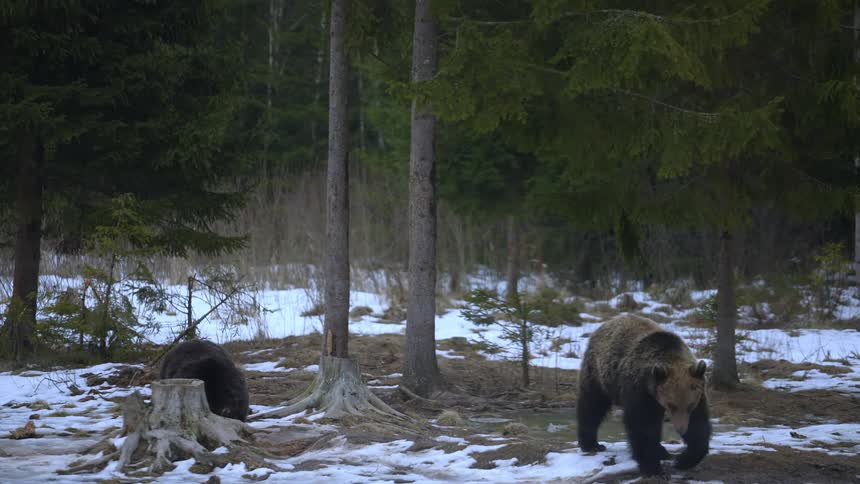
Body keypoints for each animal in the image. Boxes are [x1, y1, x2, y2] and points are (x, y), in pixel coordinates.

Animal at [577, 314, 710, 476]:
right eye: (672, 405)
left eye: (690, 406)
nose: (681, 429)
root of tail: (608, 322)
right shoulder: (639, 390)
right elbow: (641, 426)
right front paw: (652, 467)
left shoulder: (697, 392)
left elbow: (699, 425)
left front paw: (683, 460)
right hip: (599, 373)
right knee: (592, 405)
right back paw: (592, 444)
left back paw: (662, 451)